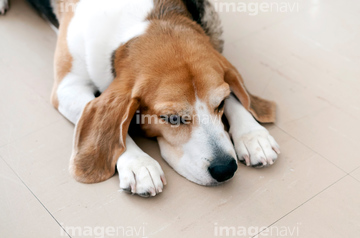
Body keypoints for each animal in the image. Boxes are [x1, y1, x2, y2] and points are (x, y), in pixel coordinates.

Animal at [6, 0, 282, 197]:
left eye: (221, 104)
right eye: (172, 119)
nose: (225, 169)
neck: (148, 19)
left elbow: (236, 91)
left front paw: (252, 135)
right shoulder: (68, 87)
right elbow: (115, 129)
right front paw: (138, 165)